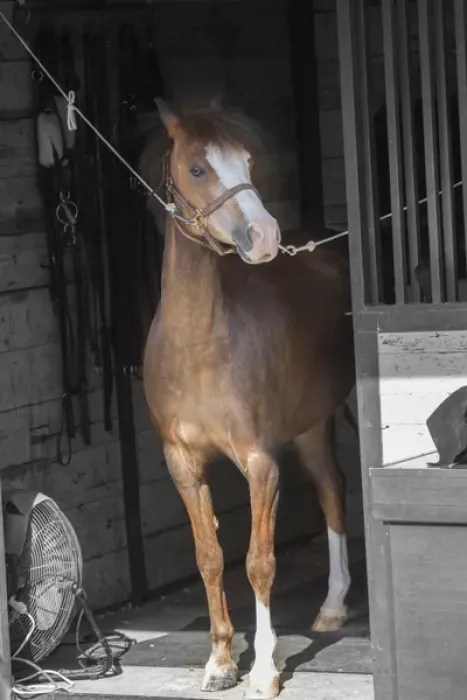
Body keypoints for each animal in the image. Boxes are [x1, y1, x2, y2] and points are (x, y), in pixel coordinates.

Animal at [140, 99, 356, 699]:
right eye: (197, 168)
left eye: (248, 162)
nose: (262, 235)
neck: (200, 344)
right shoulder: (182, 463)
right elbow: (210, 557)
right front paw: (219, 662)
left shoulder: (261, 463)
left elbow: (260, 563)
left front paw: (263, 668)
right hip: (310, 427)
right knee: (331, 487)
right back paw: (332, 607)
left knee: (334, 491)